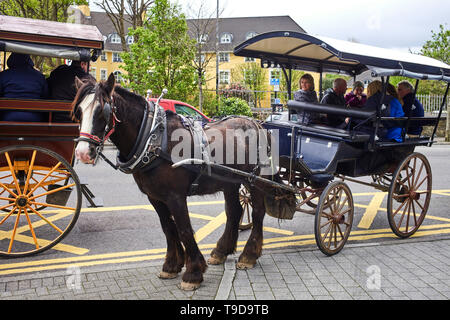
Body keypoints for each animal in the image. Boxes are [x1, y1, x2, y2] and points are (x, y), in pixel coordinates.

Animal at [73, 73, 282, 290]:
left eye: (102, 111)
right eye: (78, 111)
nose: (82, 153)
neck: (154, 140)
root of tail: (259, 125)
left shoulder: (176, 196)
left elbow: (184, 229)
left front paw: (193, 272)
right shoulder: (155, 197)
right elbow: (168, 227)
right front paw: (172, 265)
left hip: (255, 179)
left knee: (258, 212)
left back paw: (249, 255)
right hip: (230, 182)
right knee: (234, 211)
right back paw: (221, 251)